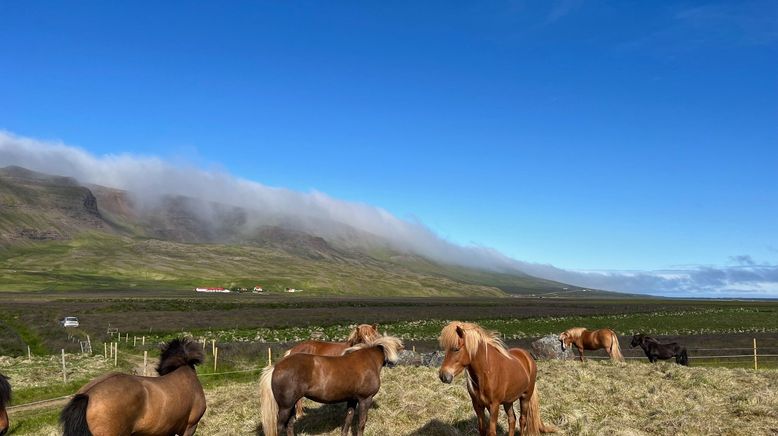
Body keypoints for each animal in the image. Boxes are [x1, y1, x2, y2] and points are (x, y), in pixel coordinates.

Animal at [262, 334, 404, 436]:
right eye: (399, 350)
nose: (395, 363)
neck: (370, 360)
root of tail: (276, 367)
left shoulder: (352, 399)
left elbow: (348, 420)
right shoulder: (365, 399)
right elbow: (361, 423)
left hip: (291, 405)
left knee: (290, 425)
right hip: (285, 407)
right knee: (280, 427)